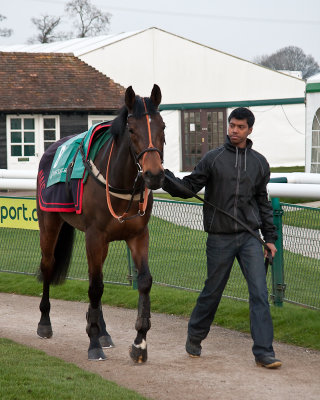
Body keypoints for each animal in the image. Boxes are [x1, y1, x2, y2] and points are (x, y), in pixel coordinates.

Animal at [36, 84, 165, 362]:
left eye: (163, 126)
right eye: (132, 130)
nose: (154, 175)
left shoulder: (138, 235)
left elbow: (144, 281)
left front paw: (139, 343)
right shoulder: (94, 236)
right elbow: (95, 287)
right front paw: (93, 342)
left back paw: (104, 331)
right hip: (49, 222)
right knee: (48, 265)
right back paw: (45, 323)